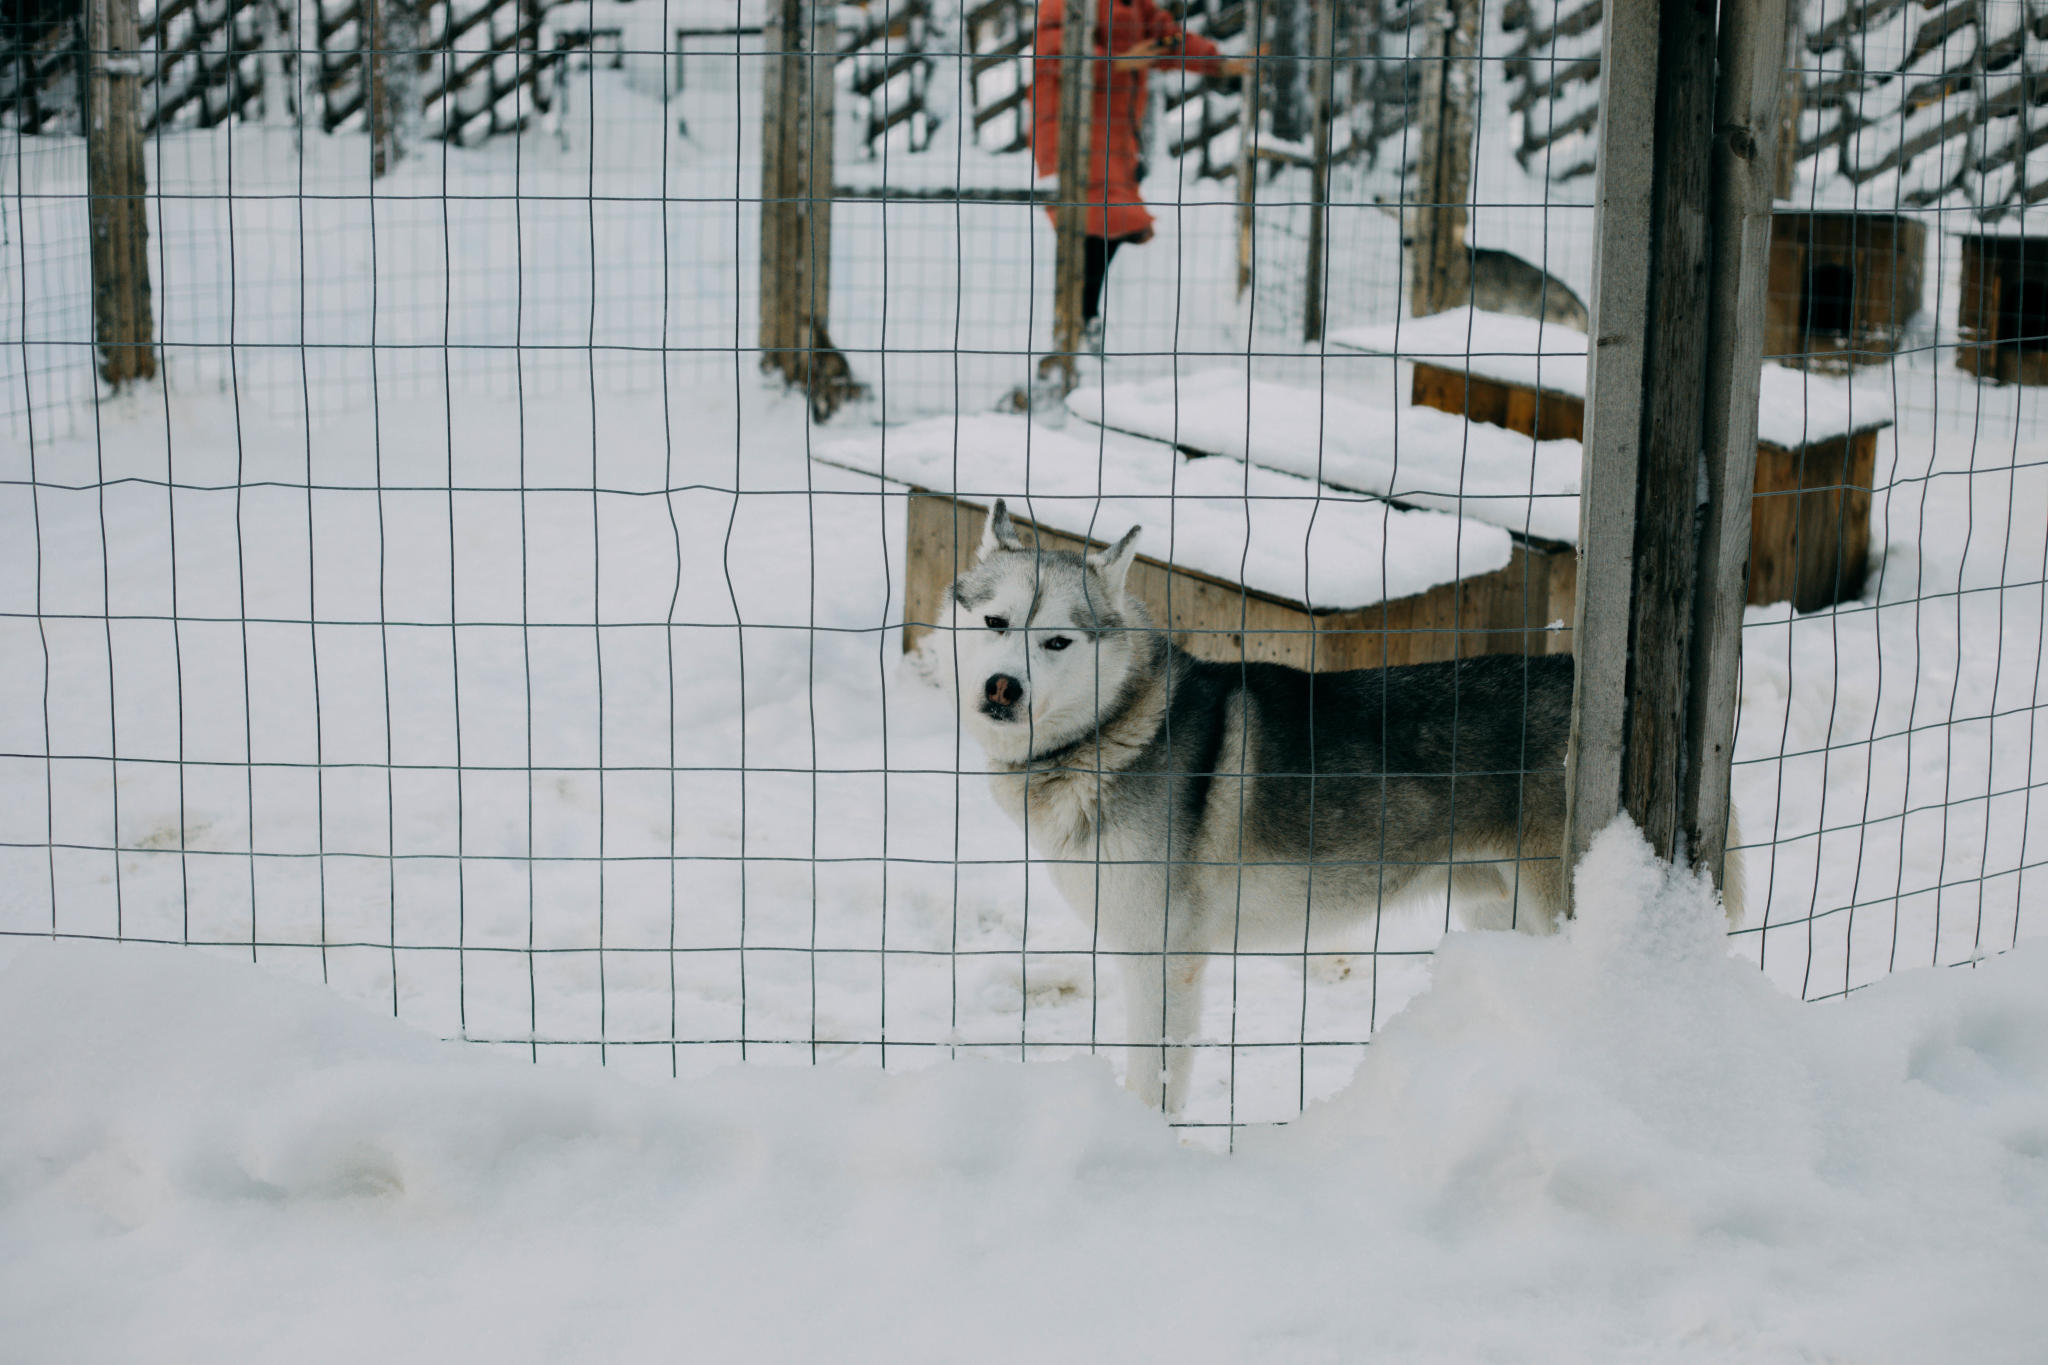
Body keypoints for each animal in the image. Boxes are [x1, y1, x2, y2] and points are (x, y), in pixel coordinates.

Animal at [942, 501, 1630, 1121]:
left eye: (1057, 640)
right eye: (996, 621)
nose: (1003, 688)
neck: (1110, 735)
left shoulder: (1165, 957)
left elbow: (1156, 1083)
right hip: (1497, 911)